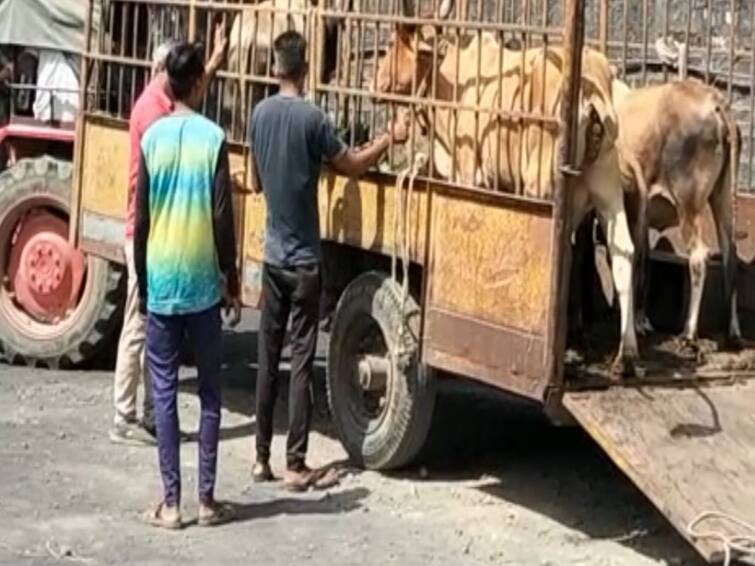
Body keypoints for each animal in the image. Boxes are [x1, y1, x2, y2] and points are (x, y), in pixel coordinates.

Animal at [376, 6, 640, 378]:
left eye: (390, 42)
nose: (377, 84)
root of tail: (592, 87)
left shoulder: (467, 173)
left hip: (543, 182)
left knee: (562, 253)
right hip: (605, 182)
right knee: (623, 251)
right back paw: (625, 354)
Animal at [612, 77, 740, 348]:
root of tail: (715, 101)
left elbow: (637, 257)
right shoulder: (642, 214)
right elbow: (643, 258)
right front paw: (640, 321)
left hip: (688, 204)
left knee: (699, 256)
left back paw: (689, 333)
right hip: (722, 197)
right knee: (729, 254)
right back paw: (733, 331)